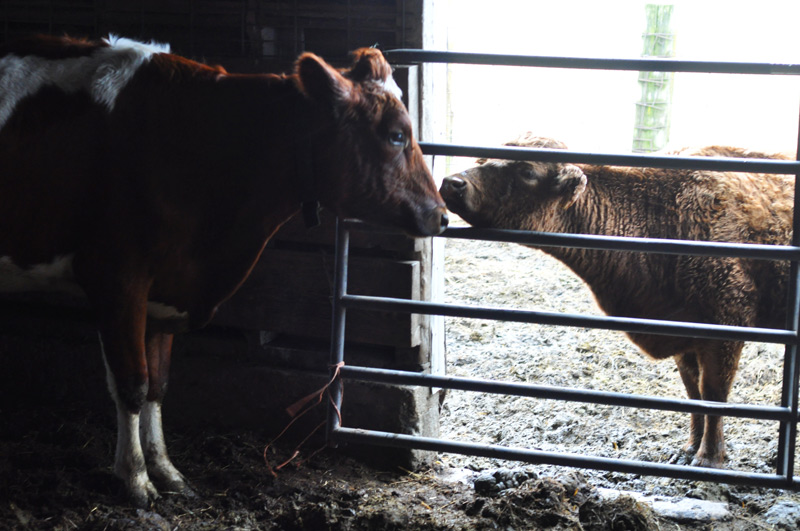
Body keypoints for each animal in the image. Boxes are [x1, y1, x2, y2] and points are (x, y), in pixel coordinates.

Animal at [0, 34, 448, 507]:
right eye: (397, 135)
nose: (441, 215)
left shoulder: (165, 288)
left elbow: (158, 385)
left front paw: (167, 470)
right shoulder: (115, 278)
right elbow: (132, 383)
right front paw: (136, 478)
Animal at [440, 132, 793, 469]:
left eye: (527, 171)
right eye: (483, 158)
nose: (452, 182)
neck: (661, 214)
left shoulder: (725, 331)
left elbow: (713, 393)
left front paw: (709, 457)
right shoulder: (685, 336)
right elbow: (693, 393)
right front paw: (688, 449)